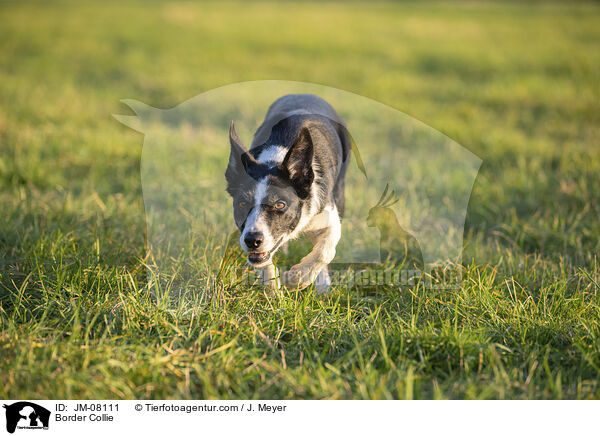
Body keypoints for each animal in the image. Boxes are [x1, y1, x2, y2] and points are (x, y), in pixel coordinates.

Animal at [224, 95, 352, 292]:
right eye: (242, 204)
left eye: (280, 204)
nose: (252, 240)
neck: (275, 160)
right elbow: (264, 260)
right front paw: (272, 288)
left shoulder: (330, 216)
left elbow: (325, 250)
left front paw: (297, 278)